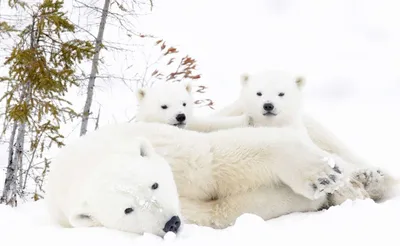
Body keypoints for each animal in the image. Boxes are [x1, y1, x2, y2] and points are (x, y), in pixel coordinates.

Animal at [78, 122, 366, 230]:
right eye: (128, 209)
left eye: (155, 184)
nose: (171, 222)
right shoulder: (191, 211)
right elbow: (222, 210)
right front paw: (307, 199)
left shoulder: (172, 150)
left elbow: (217, 156)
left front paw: (323, 176)